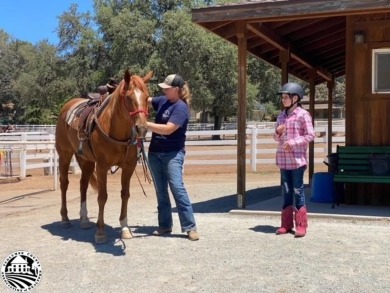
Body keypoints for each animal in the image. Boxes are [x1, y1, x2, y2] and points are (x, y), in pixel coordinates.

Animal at [55, 69, 153, 242]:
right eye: (128, 97)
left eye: (147, 97)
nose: (141, 128)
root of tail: (66, 107)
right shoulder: (101, 166)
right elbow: (102, 196)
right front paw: (100, 232)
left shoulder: (129, 167)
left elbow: (125, 194)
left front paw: (125, 228)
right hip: (65, 155)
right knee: (64, 184)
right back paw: (65, 219)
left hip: (86, 161)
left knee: (83, 185)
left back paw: (84, 220)